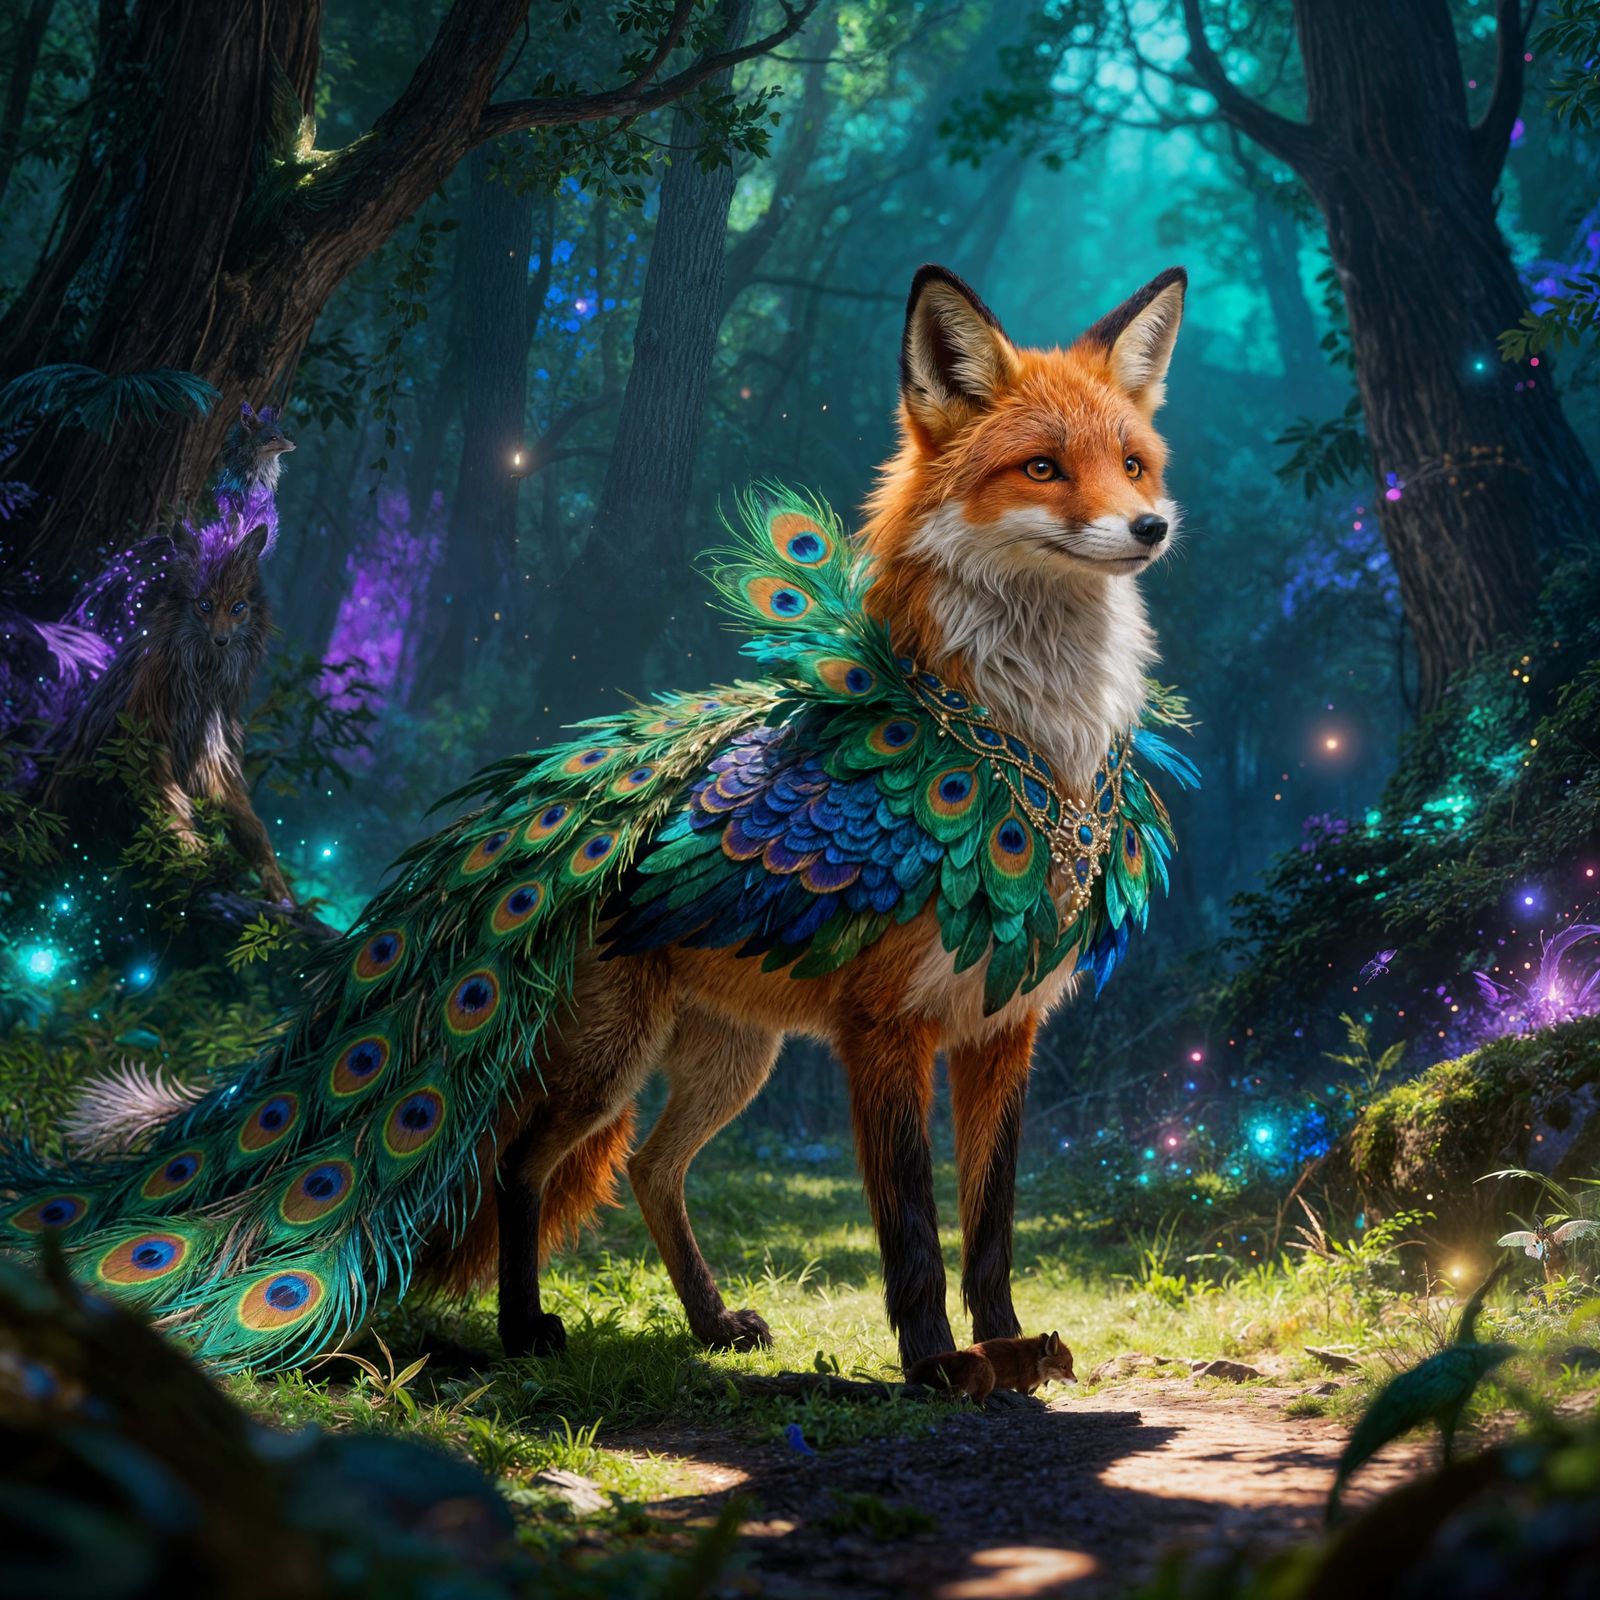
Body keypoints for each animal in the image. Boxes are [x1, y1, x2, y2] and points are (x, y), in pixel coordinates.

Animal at [908, 1331, 1079, 1402]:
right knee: (975, 1400)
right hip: (988, 1374)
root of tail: (964, 1353)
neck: (1035, 1361)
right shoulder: (1022, 1387)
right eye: (1064, 1367)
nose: (1076, 1381)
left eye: (1071, 1366)